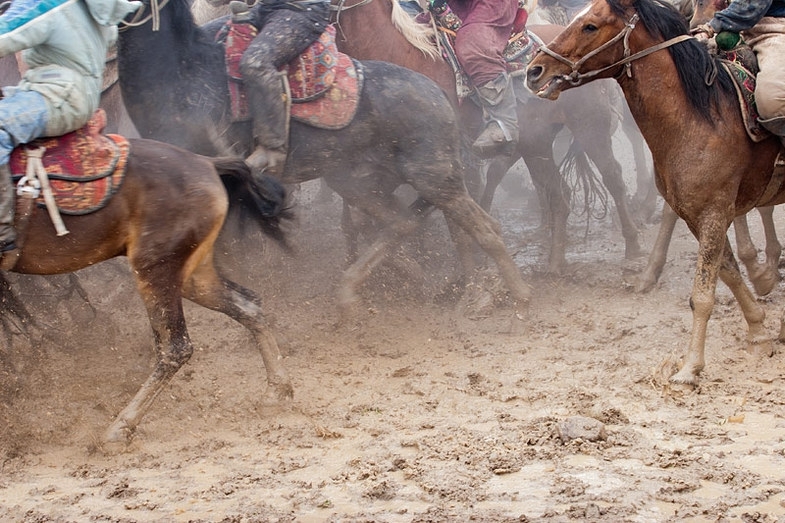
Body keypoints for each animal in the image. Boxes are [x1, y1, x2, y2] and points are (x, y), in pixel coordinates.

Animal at [4, 139, 292, 446]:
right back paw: (276, 392)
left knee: (175, 347)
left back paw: (119, 429)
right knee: (247, 305)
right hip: (193, 275)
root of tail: (207, 162)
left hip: (155, 269)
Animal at [118, 0, 532, 316]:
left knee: (479, 226)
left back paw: (513, 298)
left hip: (436, 175)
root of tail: (436, 92)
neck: (185, 74)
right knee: (401, 222)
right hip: (359, 180)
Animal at [528, 0, 784, 384]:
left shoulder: (714, 212)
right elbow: (728, 273)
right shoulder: (697, 214)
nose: (534, 70)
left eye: (590, 26)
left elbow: (703, 294)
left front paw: (690, 366)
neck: (703, 118)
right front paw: (758, 333)